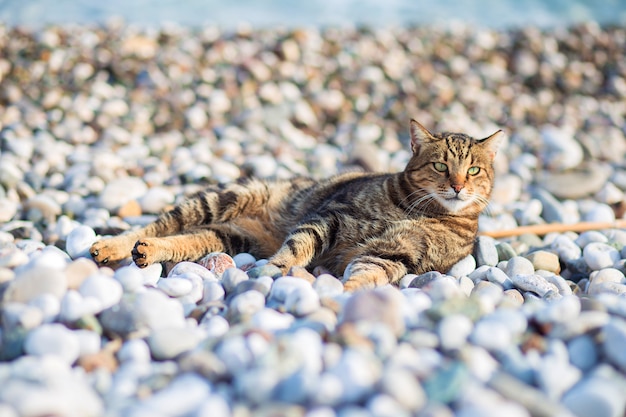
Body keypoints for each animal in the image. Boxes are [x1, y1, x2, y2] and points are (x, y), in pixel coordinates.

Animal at [90, 119, 500, 290]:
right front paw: (275, 270)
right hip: (221, 199)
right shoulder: (333, 216)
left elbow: (367, 272)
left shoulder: (398, 253)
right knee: (158, 225)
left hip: (231, 236)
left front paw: (342, 297)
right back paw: (112, 246)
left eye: (474, 169)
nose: (458, 185)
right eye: (440, 165)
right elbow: (299, 246)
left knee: (183, 240)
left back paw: (147, 251)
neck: (422, 209)